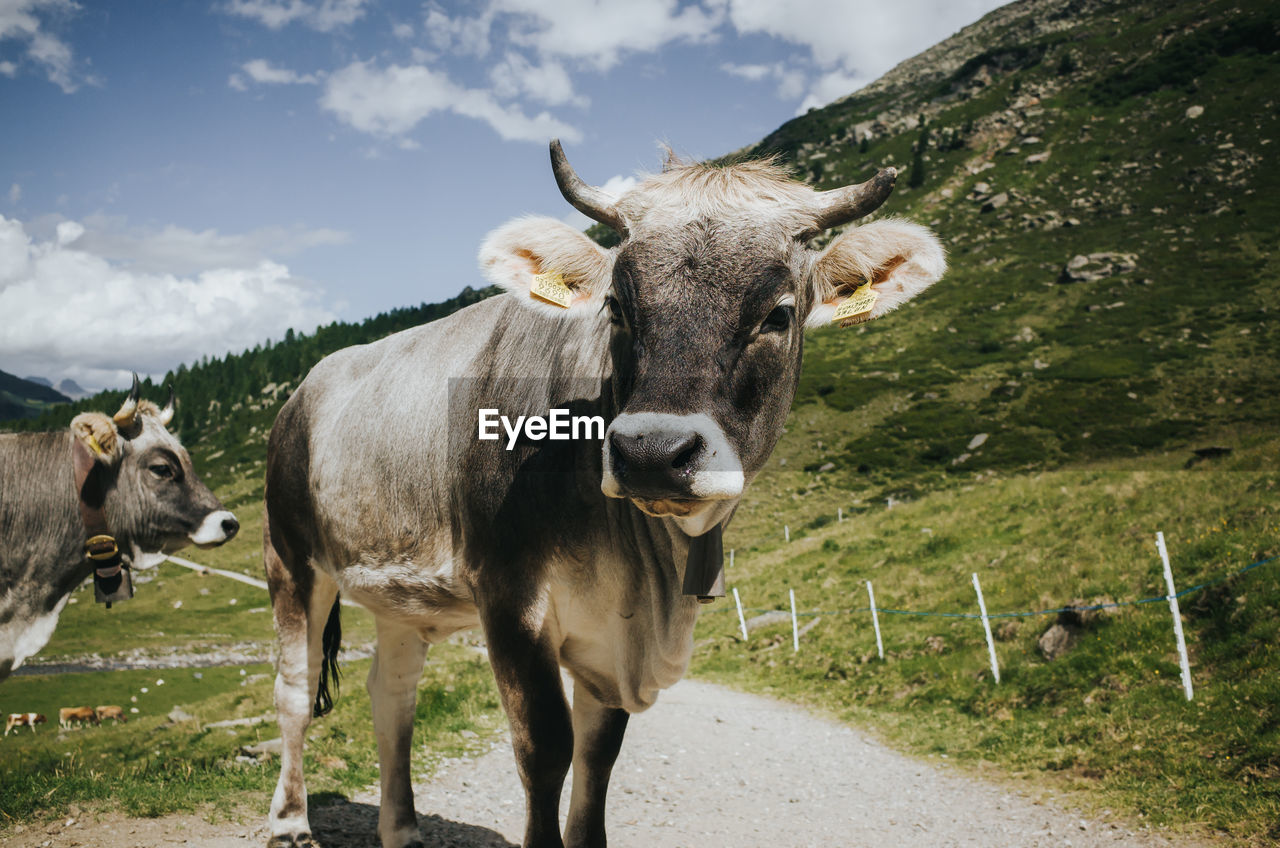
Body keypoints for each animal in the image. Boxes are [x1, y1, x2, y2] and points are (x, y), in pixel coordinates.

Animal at [264, 140, 947, 848]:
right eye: (617, 306)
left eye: (779, 314)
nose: (652, 453)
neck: (647, 573)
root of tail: (305, 388)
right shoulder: (508, 594)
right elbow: (545, 748)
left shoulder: (613, 640)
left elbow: (598, 757)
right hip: (289, 556)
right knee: (294, 689)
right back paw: (289, 822)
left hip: (399, 595)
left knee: (393, 692)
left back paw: (401, 828)